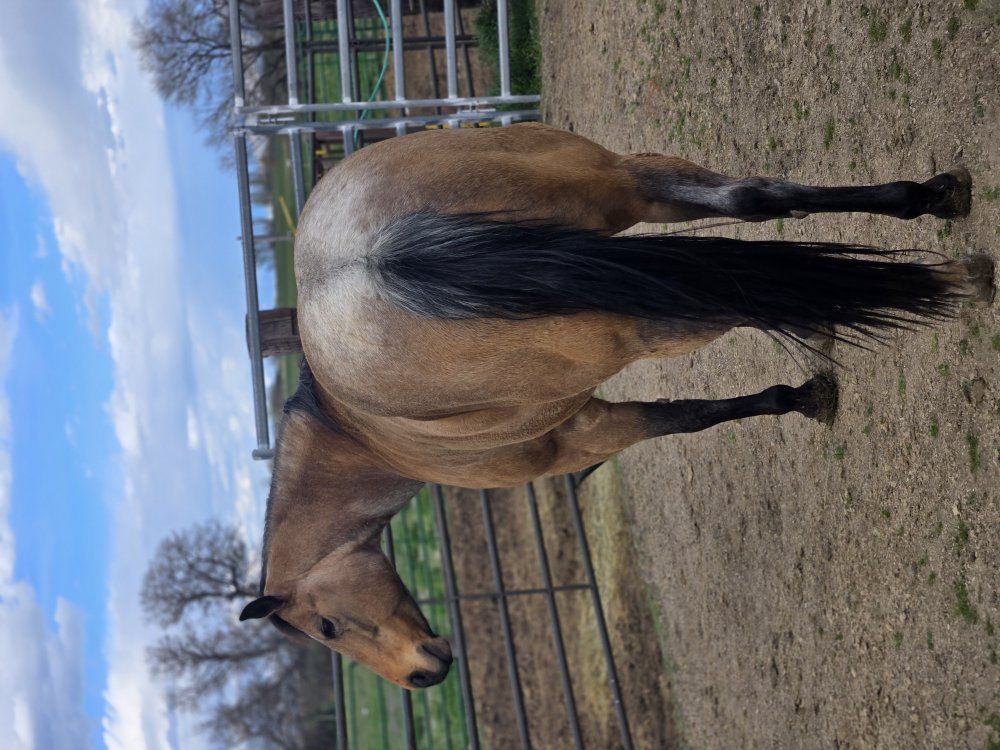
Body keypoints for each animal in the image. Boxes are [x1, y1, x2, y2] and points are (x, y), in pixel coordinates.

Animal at [238, 123, 993, 689]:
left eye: (326, 628)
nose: (424, 676)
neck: (362, 436)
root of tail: (364, 263)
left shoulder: (581, 436)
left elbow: (689, 417)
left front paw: (805, 394)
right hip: (626, 186)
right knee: (749, 206)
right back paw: (937, 204)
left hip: (632, 305)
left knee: (734, 292)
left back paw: (933, 283)